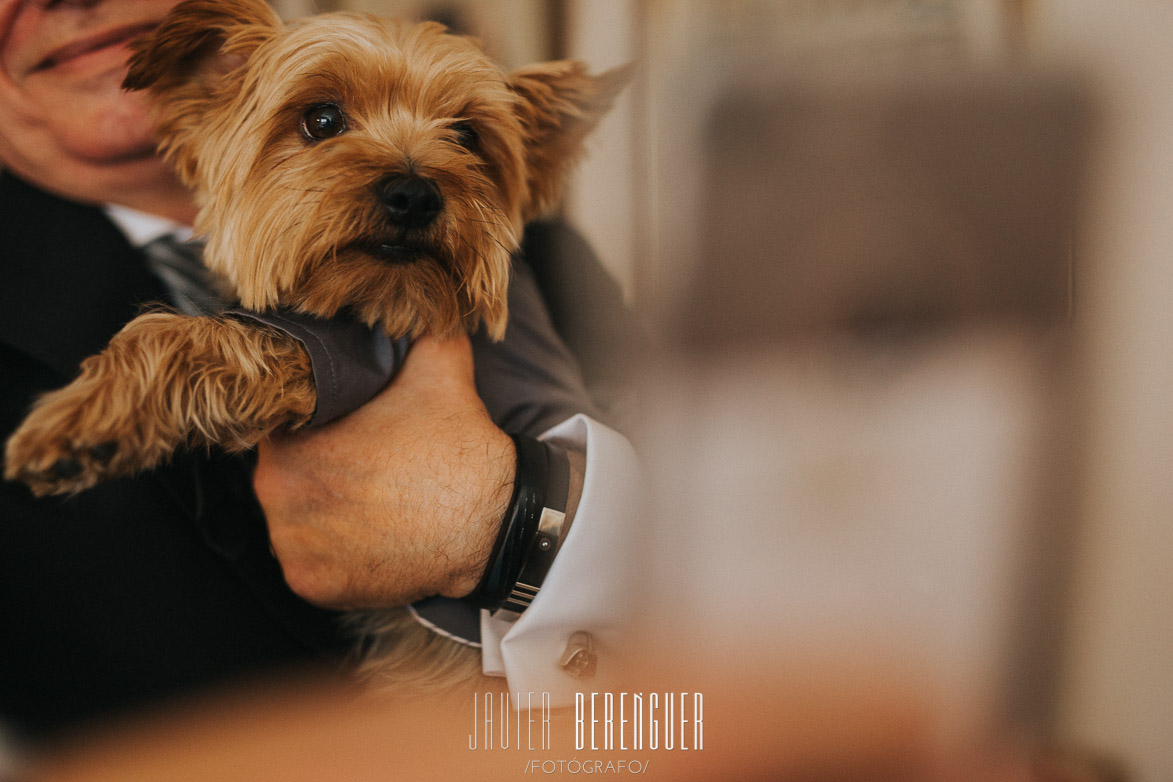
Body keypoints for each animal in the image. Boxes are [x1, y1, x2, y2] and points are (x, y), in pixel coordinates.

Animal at [4, 0, 628, 499]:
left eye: (468, 136)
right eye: (322, 119)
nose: (414, 195)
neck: (381, 304)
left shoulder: (347, 355)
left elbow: (192, 334)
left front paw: (84, 419)